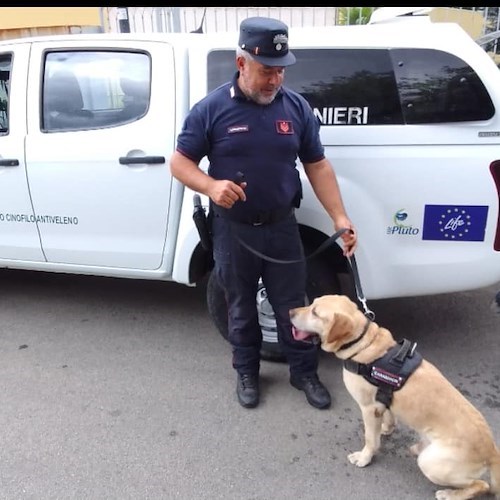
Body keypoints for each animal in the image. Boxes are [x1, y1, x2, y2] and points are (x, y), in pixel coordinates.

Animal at [290, 294, 500, 498]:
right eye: (312, 303)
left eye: (315, 312)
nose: (290, 312)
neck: (362, 344)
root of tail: (492, 452)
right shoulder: (382, 400)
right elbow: (388, 417)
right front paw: (386, 429)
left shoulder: (368, 408)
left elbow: (370, 439)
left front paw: (364, 457)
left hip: (432, 464)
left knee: (481, 485)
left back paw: (450, 494)